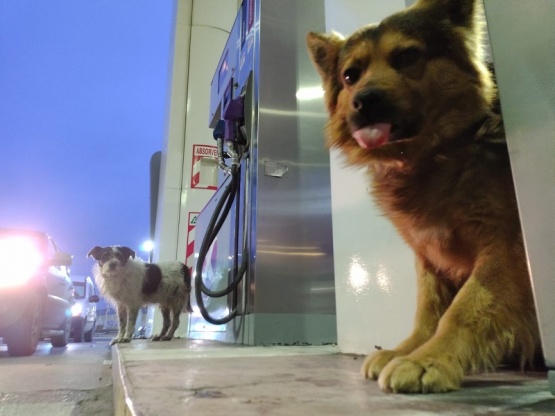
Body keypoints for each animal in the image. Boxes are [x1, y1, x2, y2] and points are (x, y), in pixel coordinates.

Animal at [306, 0, 540, 394]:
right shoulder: (430, 257)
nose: (365, 101)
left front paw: (428, 360)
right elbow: (429, 312)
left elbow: (464, 309)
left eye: (407, 56)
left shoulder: (507, 247)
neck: (436, 154)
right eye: (351, 76)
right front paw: (407, 349)